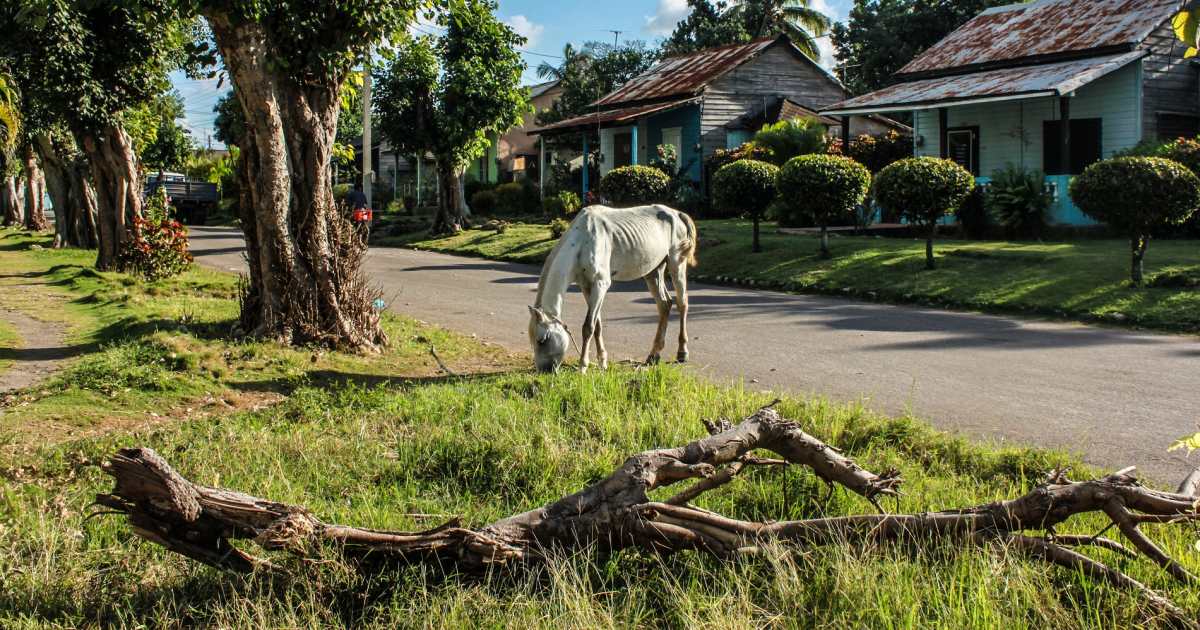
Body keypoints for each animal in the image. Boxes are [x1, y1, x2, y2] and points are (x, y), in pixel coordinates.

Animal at [530, 205, 700, 374]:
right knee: (664, 304)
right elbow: (597, 325)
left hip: (676, 264)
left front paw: (583, 366)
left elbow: (588, 327)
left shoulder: (600, 285)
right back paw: (653, 355)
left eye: (542, 341)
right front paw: (602, 362)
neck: (582, 241)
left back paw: (682, 352)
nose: (545, 371)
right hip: (654, 271)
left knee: (682, 304)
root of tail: (676, 214)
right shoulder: (586, 287)